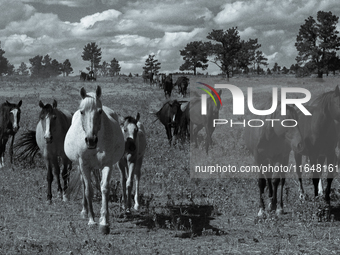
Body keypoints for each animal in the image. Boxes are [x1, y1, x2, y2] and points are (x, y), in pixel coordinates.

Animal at [64, 86, 124, 235]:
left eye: (100, 111)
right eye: (82, 112)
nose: (91, 140)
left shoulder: (108, 165)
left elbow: (105, 188)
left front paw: (104, 223)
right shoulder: (84, 165)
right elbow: (88, 191)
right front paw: (91, 220)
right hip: (81, 167)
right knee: (84, 185)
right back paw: (85, 211)